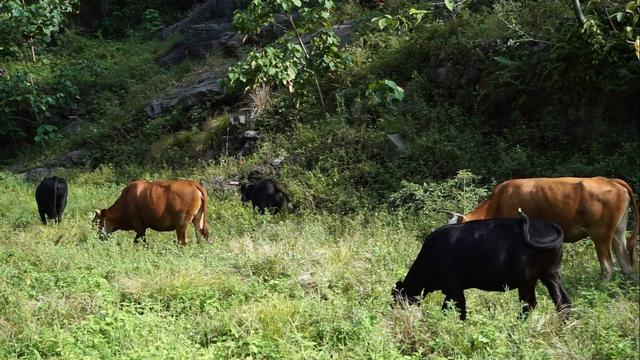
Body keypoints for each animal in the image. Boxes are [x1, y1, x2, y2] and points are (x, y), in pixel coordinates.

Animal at [392, 210, 572, 320]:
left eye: (397, 299)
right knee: (562, 302)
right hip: (550, 274)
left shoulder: (454, 287)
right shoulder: (451, 289)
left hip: (527, 280)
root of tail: (548, 225)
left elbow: (458, 310)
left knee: (529, 305)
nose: (395, 316)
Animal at [448, 177, 636, 278]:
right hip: (618, 232)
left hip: (601, 234)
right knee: (625, 261)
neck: (498, 200)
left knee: (608, 265)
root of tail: (609, 180)